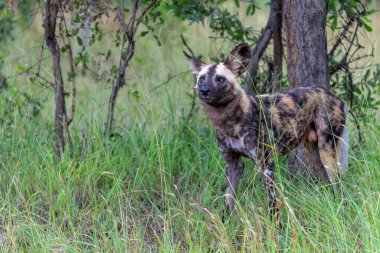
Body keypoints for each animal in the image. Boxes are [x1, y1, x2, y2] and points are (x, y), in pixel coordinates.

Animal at [183, 42, 348, 216]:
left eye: (220, 79)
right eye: (201, 79)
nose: (204, 91)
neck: (230, 123)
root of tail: (333, 96)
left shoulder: (266, 166)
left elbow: (272, 205)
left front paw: (275, 224)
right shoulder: (233, 165)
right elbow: (228, 202)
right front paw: (225, 222)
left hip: (327, 153)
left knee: (339, 186)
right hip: (315, 157)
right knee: (329, 184)